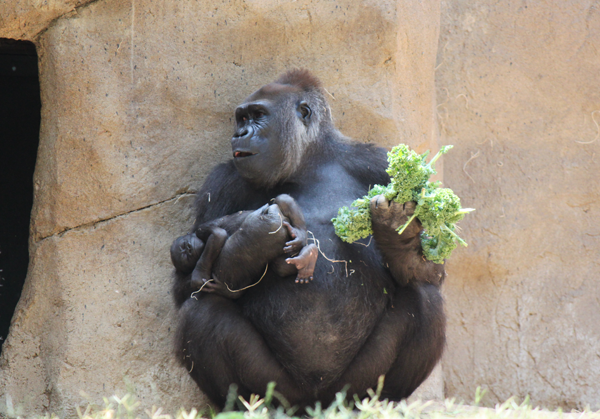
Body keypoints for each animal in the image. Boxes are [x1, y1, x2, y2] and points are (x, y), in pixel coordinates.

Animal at [170, 195, 318, 300]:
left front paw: (198, 273)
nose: (189, 249)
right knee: (280, 266)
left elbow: (217, 234)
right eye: (186, 256)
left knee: (281, 199)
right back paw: (307, 259)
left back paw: (300, 234)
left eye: (185, 246)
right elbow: (235, 291)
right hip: (269, 224)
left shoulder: (201, 228)